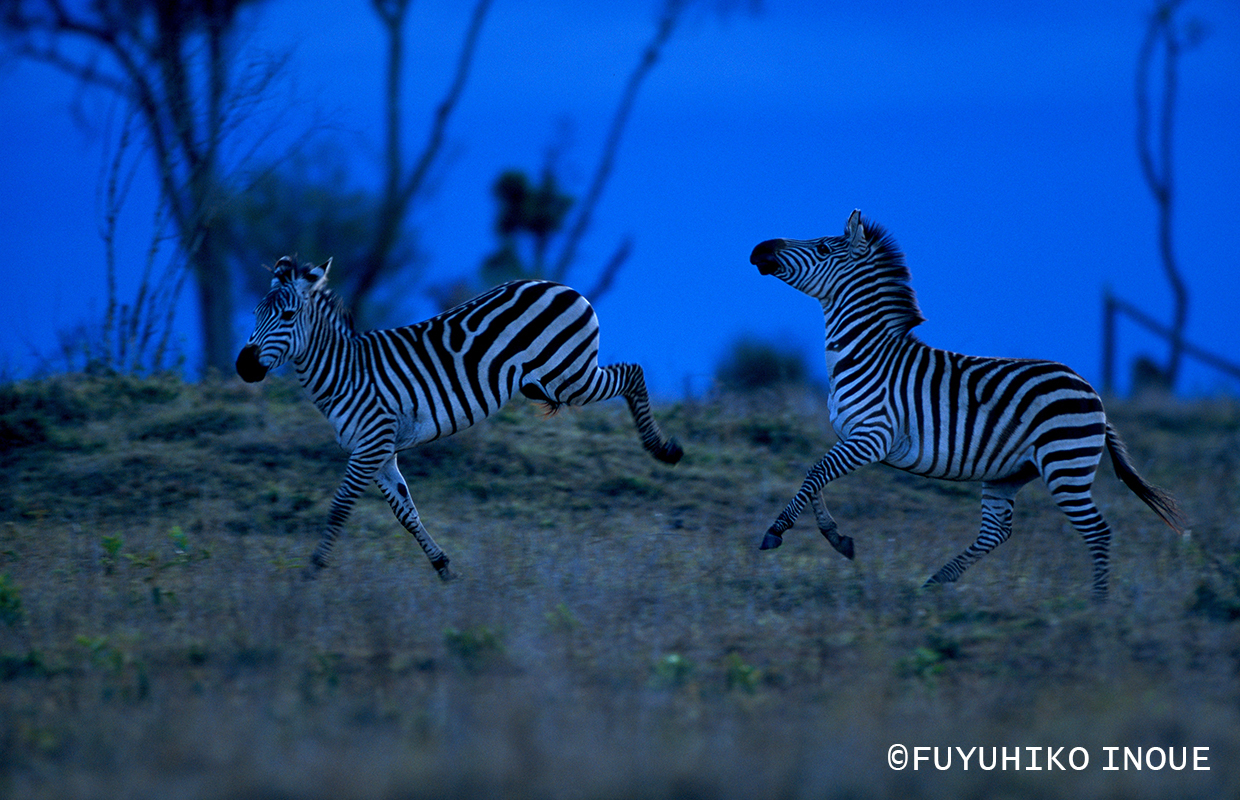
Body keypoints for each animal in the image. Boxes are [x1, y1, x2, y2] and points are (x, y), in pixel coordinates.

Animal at [236, 257, 683, 580]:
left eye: (288, 316)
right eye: (256, 313)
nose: (244, 366)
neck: (345, 372)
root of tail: (563, 287)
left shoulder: (372, 443)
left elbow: (339, 507)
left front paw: (312, 570)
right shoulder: (380, 453)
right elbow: (406, 513)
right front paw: (442, 566)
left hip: (570, 376)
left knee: (633, 372)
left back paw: (664, 449)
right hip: (551, 383)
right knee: (628, 373)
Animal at [749, 209, 1186, 600]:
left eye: (823, 248)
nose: (758, 248)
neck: (868, 355)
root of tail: (1091, 391)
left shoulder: (872, 438)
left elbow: (814, 475)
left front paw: (776, 531)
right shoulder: (848, 437)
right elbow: (814, 478)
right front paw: (836, 538)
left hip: (1065, 465)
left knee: (1096, 530)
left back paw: (1097, 605)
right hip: (1010, 472)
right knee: (996, 532)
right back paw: (934, 583)